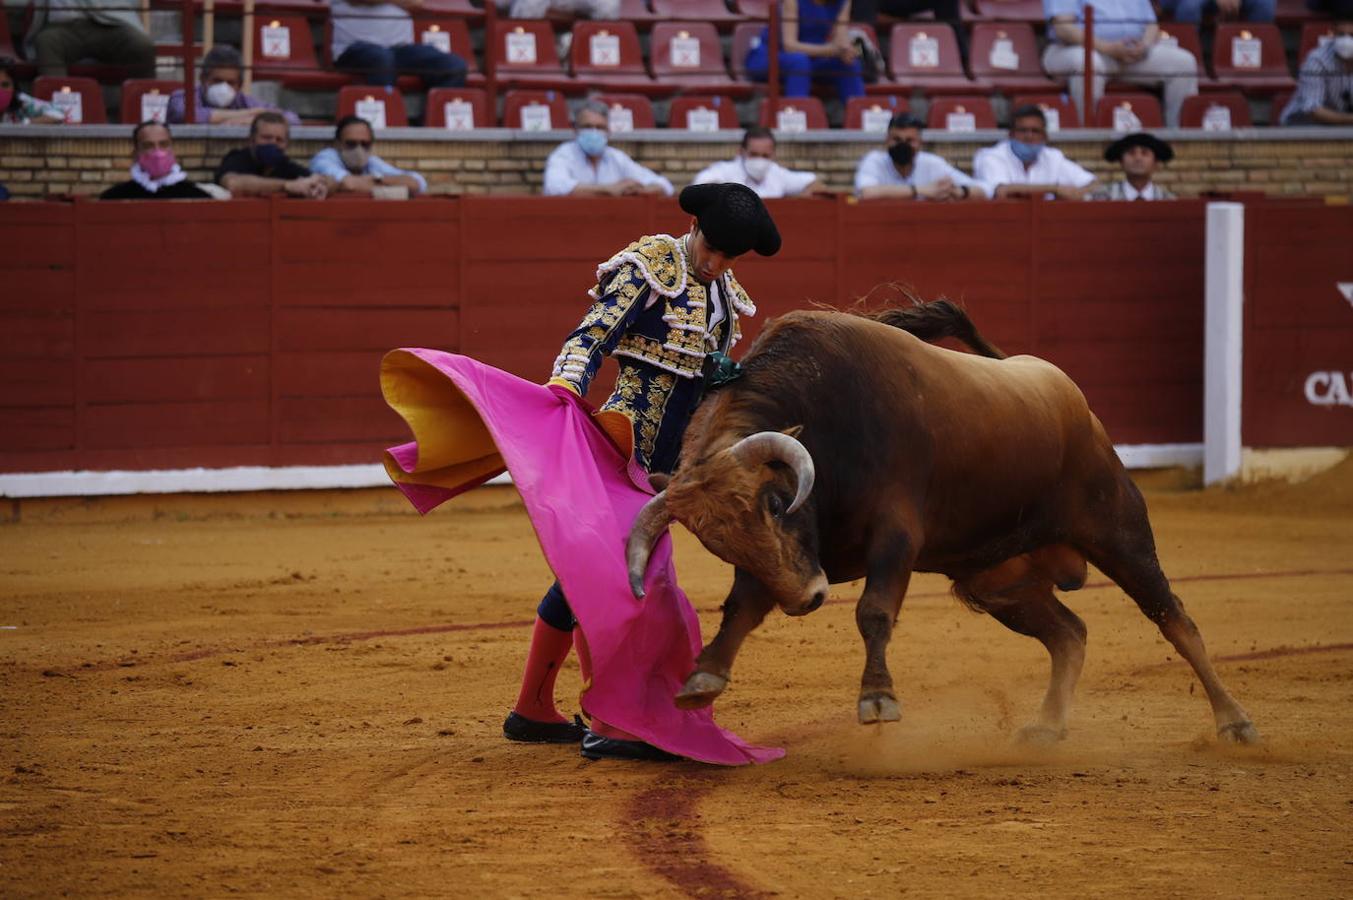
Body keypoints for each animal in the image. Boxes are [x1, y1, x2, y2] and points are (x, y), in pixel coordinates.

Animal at [622, 301, 1255, 741]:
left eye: (778, 504)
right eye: (720, 546)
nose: (807, 601)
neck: (827, 427)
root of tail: (1065, 393)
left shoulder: (895, 538)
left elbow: (874, 612)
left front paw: (878, 700)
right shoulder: (789, 559)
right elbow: (742, 608)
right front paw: (703, 679)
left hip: (1117, 530)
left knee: (1174, 619)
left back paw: (1234, 722)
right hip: (1000, 580)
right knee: (1069, 634)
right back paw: (1047, 726)